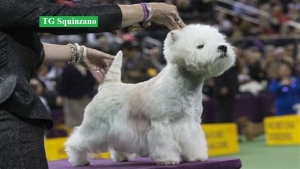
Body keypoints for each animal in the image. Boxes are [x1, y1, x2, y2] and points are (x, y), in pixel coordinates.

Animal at [64, 23, 236, 166]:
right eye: (200, 46)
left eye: (219, 40)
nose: (223, 47)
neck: (187, 85)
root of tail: (108, 85)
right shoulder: (163, 123)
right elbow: (165, 144)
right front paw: (168, 159)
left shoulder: (191, 123)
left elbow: (193, 141)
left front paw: (196, 157)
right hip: (95, 125)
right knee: (77, 141)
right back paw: (79, 160)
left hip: (118, 129)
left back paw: (122, 157)